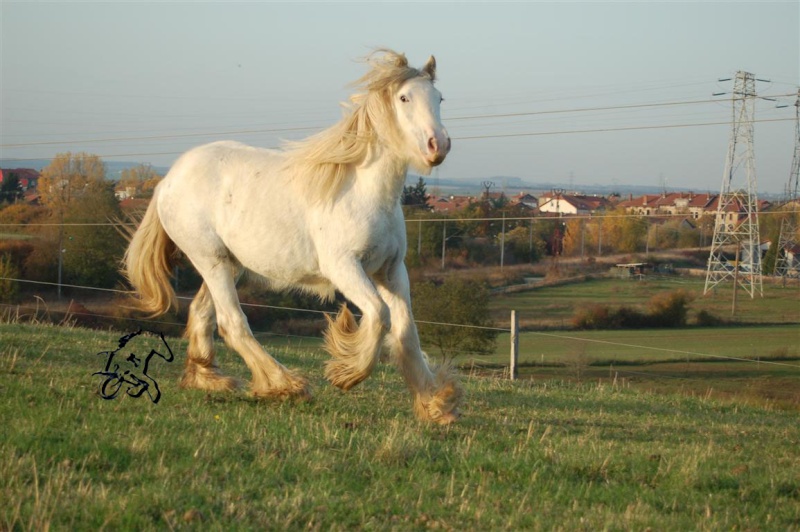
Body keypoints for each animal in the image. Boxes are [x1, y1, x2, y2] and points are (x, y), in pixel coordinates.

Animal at [125, 50, 462, 424]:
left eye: (439, 98)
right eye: (404, 98)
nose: (438, 145)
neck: (365, 192)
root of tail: (168, 179)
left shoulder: (390, 271)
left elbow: (406, 332)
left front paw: (436, 404)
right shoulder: (344, 267)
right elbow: (379, 315)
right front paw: (347, 373)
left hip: (229, 264)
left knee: (202, 314)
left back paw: (208, 379)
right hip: (209, 259)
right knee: (232, 322)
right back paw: (285, 385)